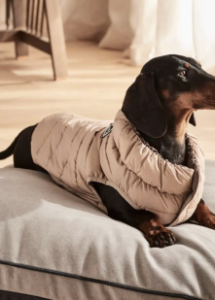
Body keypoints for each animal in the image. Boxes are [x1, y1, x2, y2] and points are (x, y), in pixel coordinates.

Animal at [0, 55, 215, 247]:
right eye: (181, 73)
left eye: (200, 65)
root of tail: (30, 128)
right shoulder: (120, 204)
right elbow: (145, 215)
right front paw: (159, 232)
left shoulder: (189, 197)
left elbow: (201, 203)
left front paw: (211, 218)